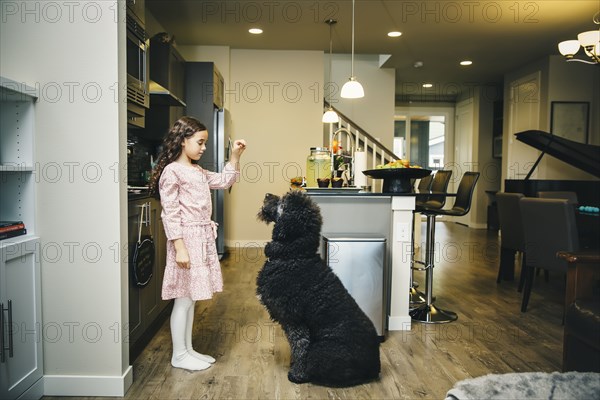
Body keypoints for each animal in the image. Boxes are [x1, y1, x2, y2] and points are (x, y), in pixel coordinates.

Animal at [256, 191, 380, 388]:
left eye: (283, 203)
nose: (267, 194)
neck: (294, 255)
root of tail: (375, 367)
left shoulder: (294, 320)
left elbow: (300, 346)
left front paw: (297, 374)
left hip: (321, 351)